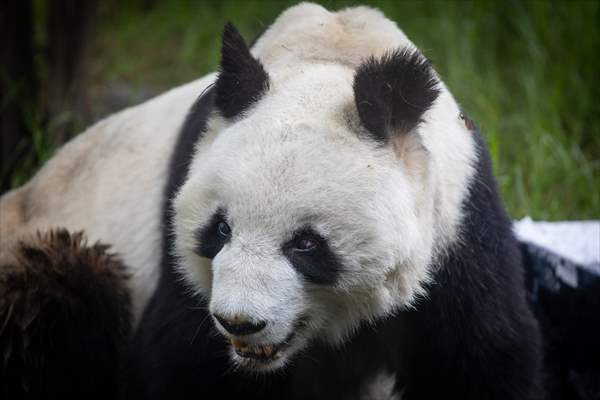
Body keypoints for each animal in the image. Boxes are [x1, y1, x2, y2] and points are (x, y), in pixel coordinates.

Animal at [0, 3, 540, 400]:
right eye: (220, 229)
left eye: (306, 244)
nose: (238, 322)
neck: (333, 59)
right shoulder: (180, 253)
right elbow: (175, 360)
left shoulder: (457, 230)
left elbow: (481, 358)